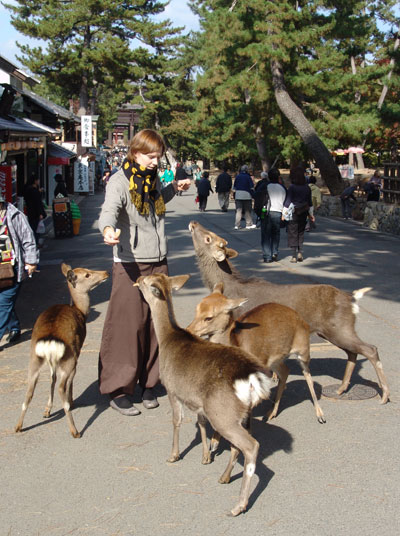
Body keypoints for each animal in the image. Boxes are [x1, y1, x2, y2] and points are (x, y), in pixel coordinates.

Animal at [15, 262, 108, 438]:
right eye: (87, 274)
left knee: (29, 391)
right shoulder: (77, 351)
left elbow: (51, 378)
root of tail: (49, 340)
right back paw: (75, 431)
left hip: (35, 359)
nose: (106, 272)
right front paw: (71, 400)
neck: (80, 311)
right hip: (69, 358)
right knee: (60, 387)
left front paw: (47, 410)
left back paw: (18, 427)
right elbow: (68, 380)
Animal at [133, 274, 274, 516]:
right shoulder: (197, 399)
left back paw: (238, 506)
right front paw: (206, 456)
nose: (138, 277)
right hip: (242, 414)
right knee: (238, 445)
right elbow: (200, 422)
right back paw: (224, 477)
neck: (166, 340)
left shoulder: (172, 389)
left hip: (222, 413)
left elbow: (176, 421)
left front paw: (174, 455)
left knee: (251, 446)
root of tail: (252, 377)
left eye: (147, 283)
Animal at [188, 282, 324, 426]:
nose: (188, 330)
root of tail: (301, 319)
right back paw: (270, 413)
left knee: (307, 375)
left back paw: (320, 415)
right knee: (285, 371)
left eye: (209, 317)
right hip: (274, 360)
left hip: (303, 351)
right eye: (196, 310)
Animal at [189, 221, 390, 402]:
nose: (194, 222)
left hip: (340, 328)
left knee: (370, 349)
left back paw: (384, 394)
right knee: (353, 352)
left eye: (208, 238)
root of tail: (352, 298)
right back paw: (341, 389)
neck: (231, 289)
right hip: (333, 331)